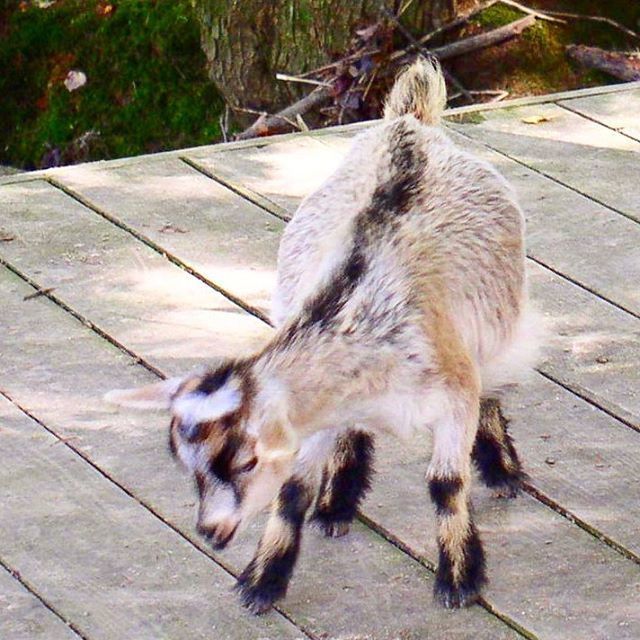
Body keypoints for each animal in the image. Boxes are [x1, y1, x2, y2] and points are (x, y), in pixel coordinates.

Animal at [107, 58, 536, 616]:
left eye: (246, 459)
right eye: (188, 465)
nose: (212, 532)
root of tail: (410, 124)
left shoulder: (453, 386)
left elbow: (445, 483)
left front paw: (460, 577)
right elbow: (293, 489)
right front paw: (264, 580)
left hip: (497, 319)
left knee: (492, 385)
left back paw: (501, 471)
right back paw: (337, 501)